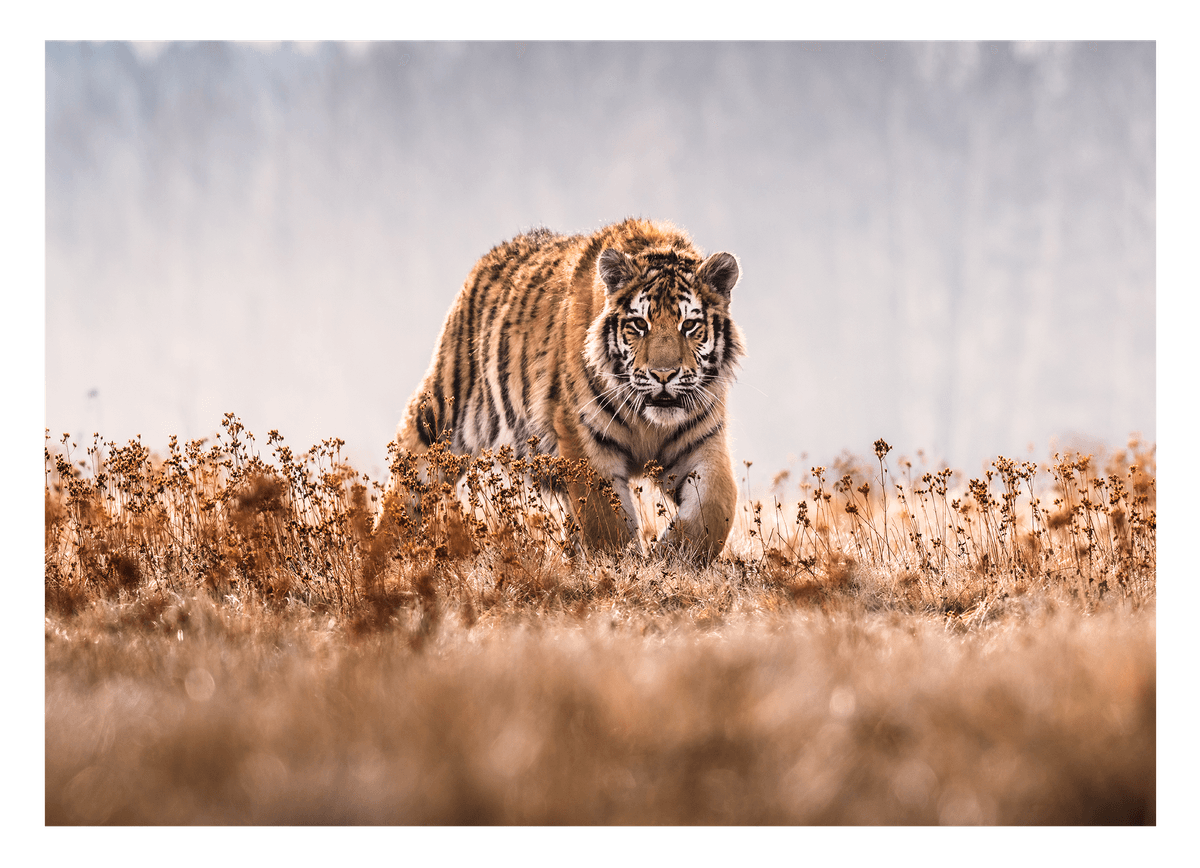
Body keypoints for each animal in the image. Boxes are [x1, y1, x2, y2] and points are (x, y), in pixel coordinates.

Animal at [380, 217, 745, 563]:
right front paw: (623, 564)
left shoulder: (704, 438)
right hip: (440, 416)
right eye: (640, 324)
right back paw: (383, 546)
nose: (664, 374)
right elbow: (605, 518)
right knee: (407, 481)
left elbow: (717, 505)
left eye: (690, 325)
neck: (649, 422)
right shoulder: (583, 435)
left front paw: (674, 555)